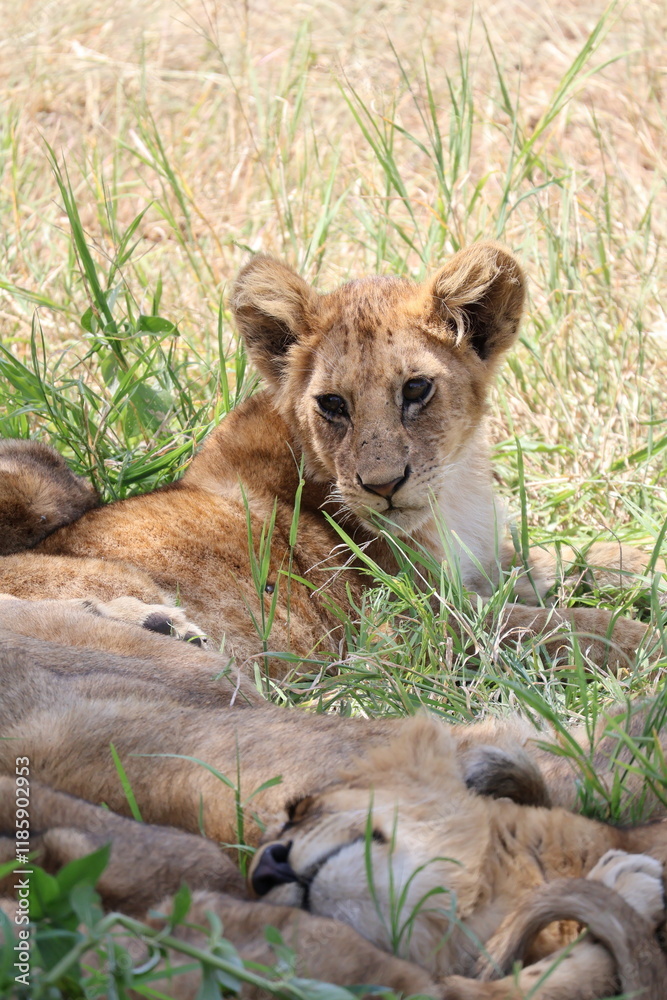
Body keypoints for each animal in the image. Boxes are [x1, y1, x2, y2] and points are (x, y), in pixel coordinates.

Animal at [0, 242, 661, 675]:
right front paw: (651, 646)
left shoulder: (485, 564)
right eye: (333, 404)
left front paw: (645, 563)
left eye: (416, 389)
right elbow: (569, 627)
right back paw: (158, 626)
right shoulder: (409, 625)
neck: (455, 492)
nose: (384, 485)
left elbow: (583, 558)